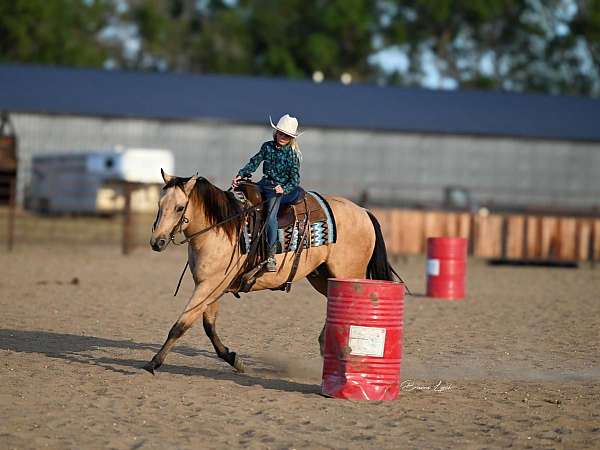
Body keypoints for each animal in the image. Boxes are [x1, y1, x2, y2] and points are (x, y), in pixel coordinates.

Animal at [143, 171, 400, 374]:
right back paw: (325, 344)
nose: (157, 241)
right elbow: (209, 326)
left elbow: (181, 324)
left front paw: (154, 363)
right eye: (159, 205)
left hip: (347, 274)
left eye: (179, 208)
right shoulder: (211, 287)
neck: (221, 228)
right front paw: (233, 359)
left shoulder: (209, 286)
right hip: (323, 276)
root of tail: (364, 212)